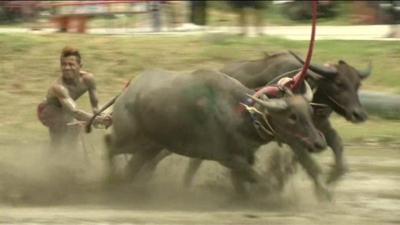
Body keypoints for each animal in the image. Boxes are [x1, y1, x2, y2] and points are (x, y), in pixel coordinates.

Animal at [105, 68, 328, 197]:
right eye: (292, 116)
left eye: (309, 112)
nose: (319, 142)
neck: (241, 113)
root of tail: (126, 92)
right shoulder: (228, 158)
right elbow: (260, 181)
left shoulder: (243, 157)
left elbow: (243, 183)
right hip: (129, 139)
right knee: (108, 143)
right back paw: (110, 180)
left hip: (150, 147)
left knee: (133, 166)